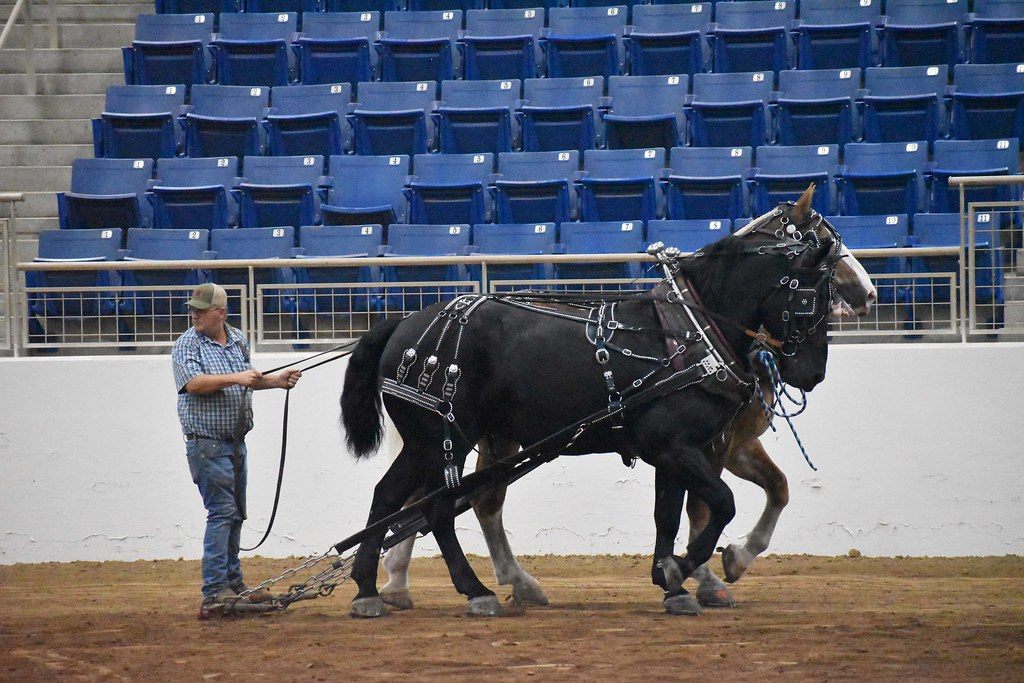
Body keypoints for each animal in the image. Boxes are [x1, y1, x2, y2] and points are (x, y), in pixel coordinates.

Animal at [340, 185, 844, 617]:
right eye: (811, 302)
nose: (813, 375)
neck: (689, 333)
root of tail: (403, 323)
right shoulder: (676, 446)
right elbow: (722, 503)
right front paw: (682, 569)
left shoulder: (677, 449)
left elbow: (667, 517)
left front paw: (673, 585)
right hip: (441, 440)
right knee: (437, 508)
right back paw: (473, 590)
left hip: (431, 443)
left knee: (391, 498)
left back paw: (369, 589)